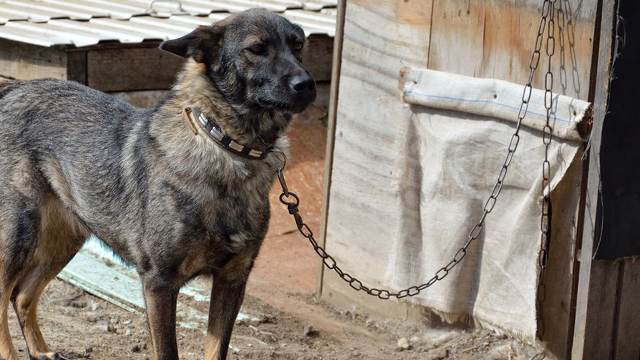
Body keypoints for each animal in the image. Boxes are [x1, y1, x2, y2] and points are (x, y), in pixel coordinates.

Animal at [0, 8, 316, 360]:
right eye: (257, 49)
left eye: (298, 45)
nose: (307, 84)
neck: (224, 146)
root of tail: (14, 89)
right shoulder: (159, 283)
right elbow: (167, 350)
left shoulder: (232, 279)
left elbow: (216, 349)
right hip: (18, 235)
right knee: (4, 298)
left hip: (65, 237)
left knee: (22, 296)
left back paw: (40, 351)